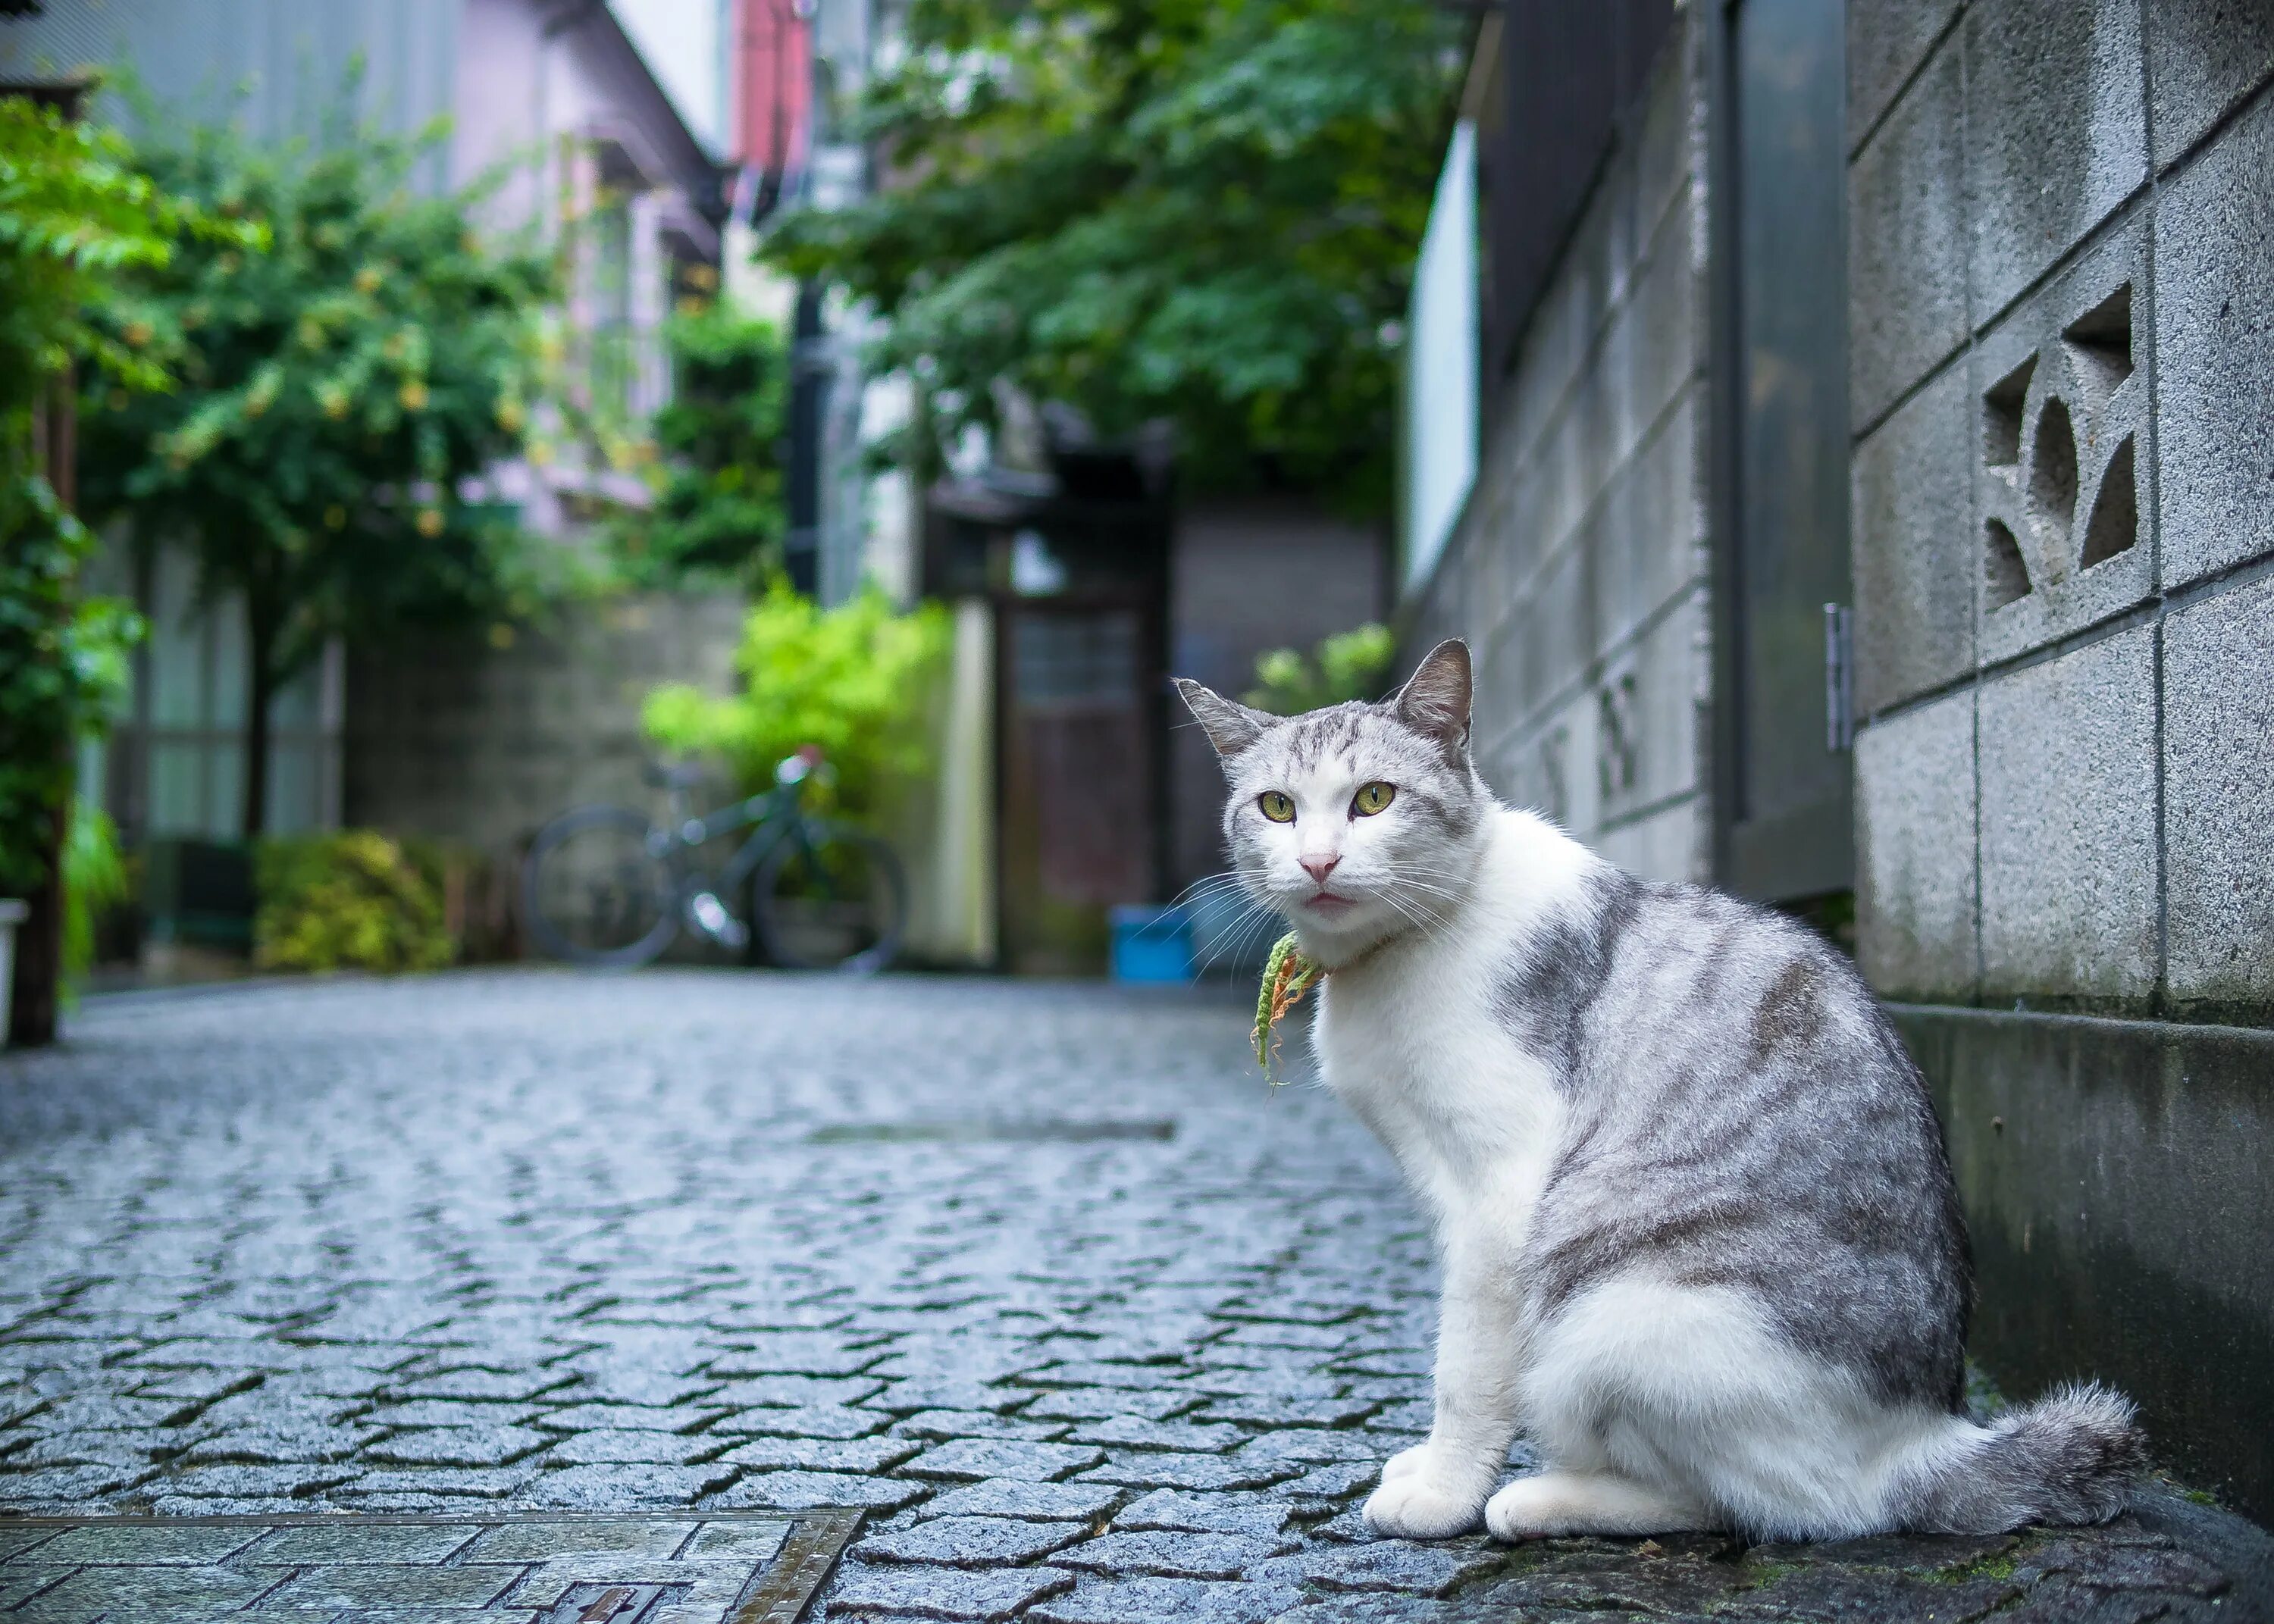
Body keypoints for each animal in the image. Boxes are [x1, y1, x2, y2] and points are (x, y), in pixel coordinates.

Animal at [1182, 637, 2138, 1537]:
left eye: (1374, 799)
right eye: (1277, 807)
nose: (1317, 861)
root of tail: (1930, 1436)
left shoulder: (1499, 1196)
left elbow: (1466, 1363)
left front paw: (1443, 1492)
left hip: (1614, 1306)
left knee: (1779, 1505)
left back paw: (1540, 1500)